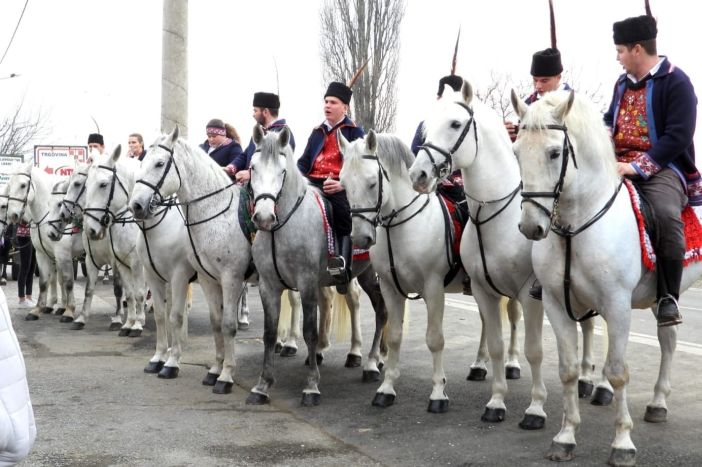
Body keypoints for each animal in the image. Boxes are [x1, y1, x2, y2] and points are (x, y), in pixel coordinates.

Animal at [82, 148, 147, 334]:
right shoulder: (121, 262)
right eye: (85, 186)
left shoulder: (137, 263)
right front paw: (129, 324)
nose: (90, 230)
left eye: (103, 184)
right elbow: (130, 293)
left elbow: (139, 293)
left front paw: (137, 325)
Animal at [131, 126, 252, 394]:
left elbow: (178, 317)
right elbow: (163, 316)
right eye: (141, 163)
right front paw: (158, 359)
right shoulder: (158, 276)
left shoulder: (185, 275)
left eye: (160, 163)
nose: (137, 206)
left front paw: (173, 363)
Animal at [512, 88, 702, 467]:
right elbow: (569, 369)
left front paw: (622, 443)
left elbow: (617, 371)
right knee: (669, 341)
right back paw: (658, 403)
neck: (577, 223)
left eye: (554, 152)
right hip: (660, 300)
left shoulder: (616, 305)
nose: (530, 227)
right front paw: (565, 436)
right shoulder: (556, 303)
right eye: (516, 152)